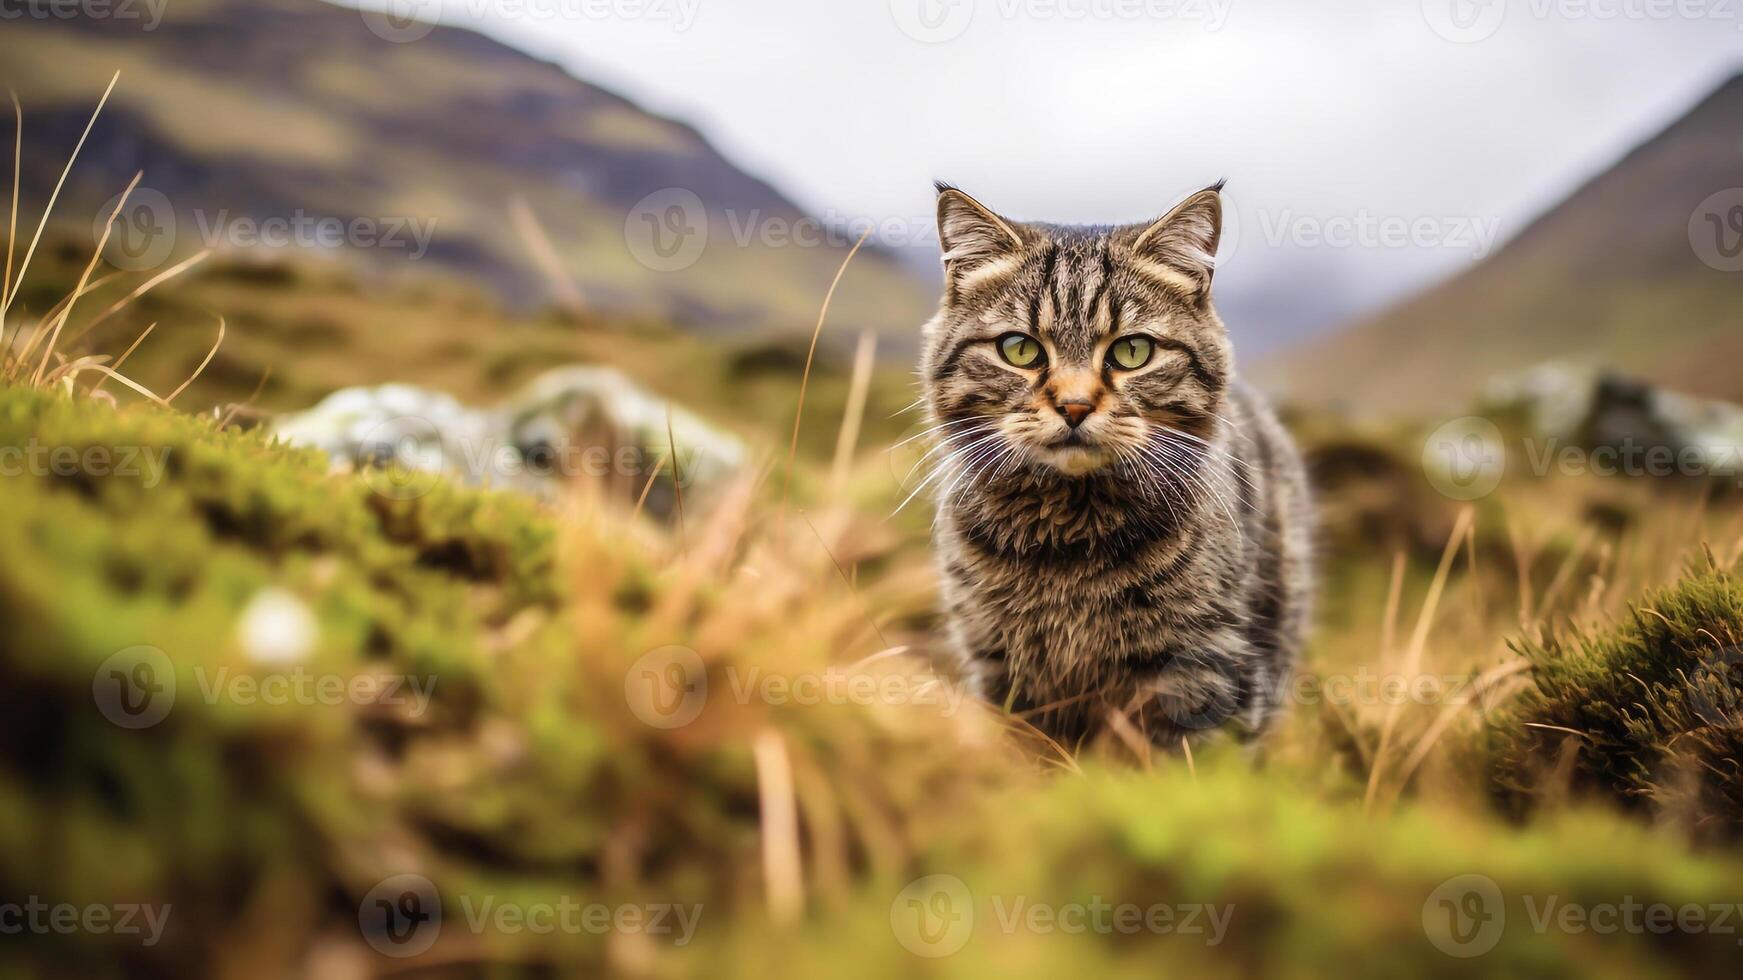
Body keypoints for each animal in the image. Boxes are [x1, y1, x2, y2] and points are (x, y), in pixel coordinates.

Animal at [927, 181, 1310, 739]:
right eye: (1020, 349)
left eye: (1132, 352)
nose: (1074, 406)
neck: (1066, 546)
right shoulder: (1000, 668)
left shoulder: (1204, 672)